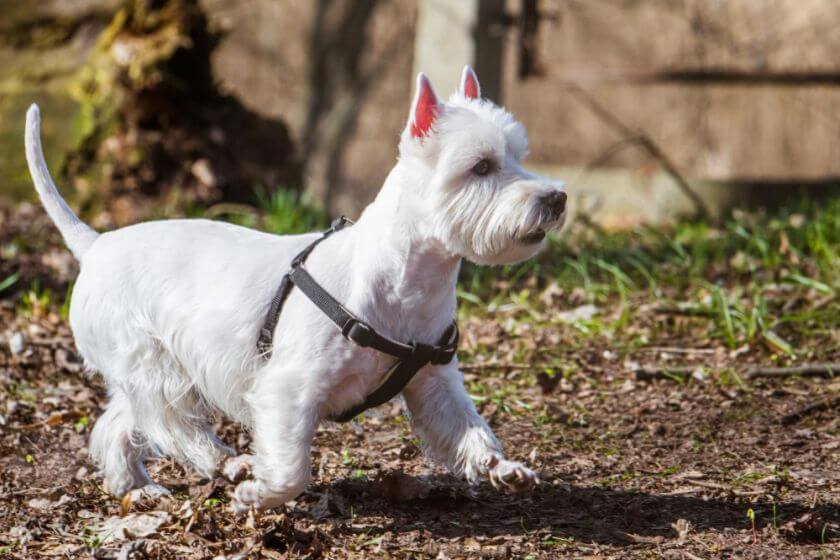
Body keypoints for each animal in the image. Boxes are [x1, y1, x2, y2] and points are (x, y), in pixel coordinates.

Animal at [24, 66, 564, 512]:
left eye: (519, 156)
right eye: (481, 166)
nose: (556, 198)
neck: (408, 280)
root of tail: (95, 245)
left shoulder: (434, 382)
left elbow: (471, 429)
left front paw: (503, 468)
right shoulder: (289, 388)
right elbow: (291, 469)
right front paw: (260, 494)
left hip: (148, 371)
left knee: (119, 422)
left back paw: (136, 488)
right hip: (154, 364)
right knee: (169, 422)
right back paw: (225, 463)